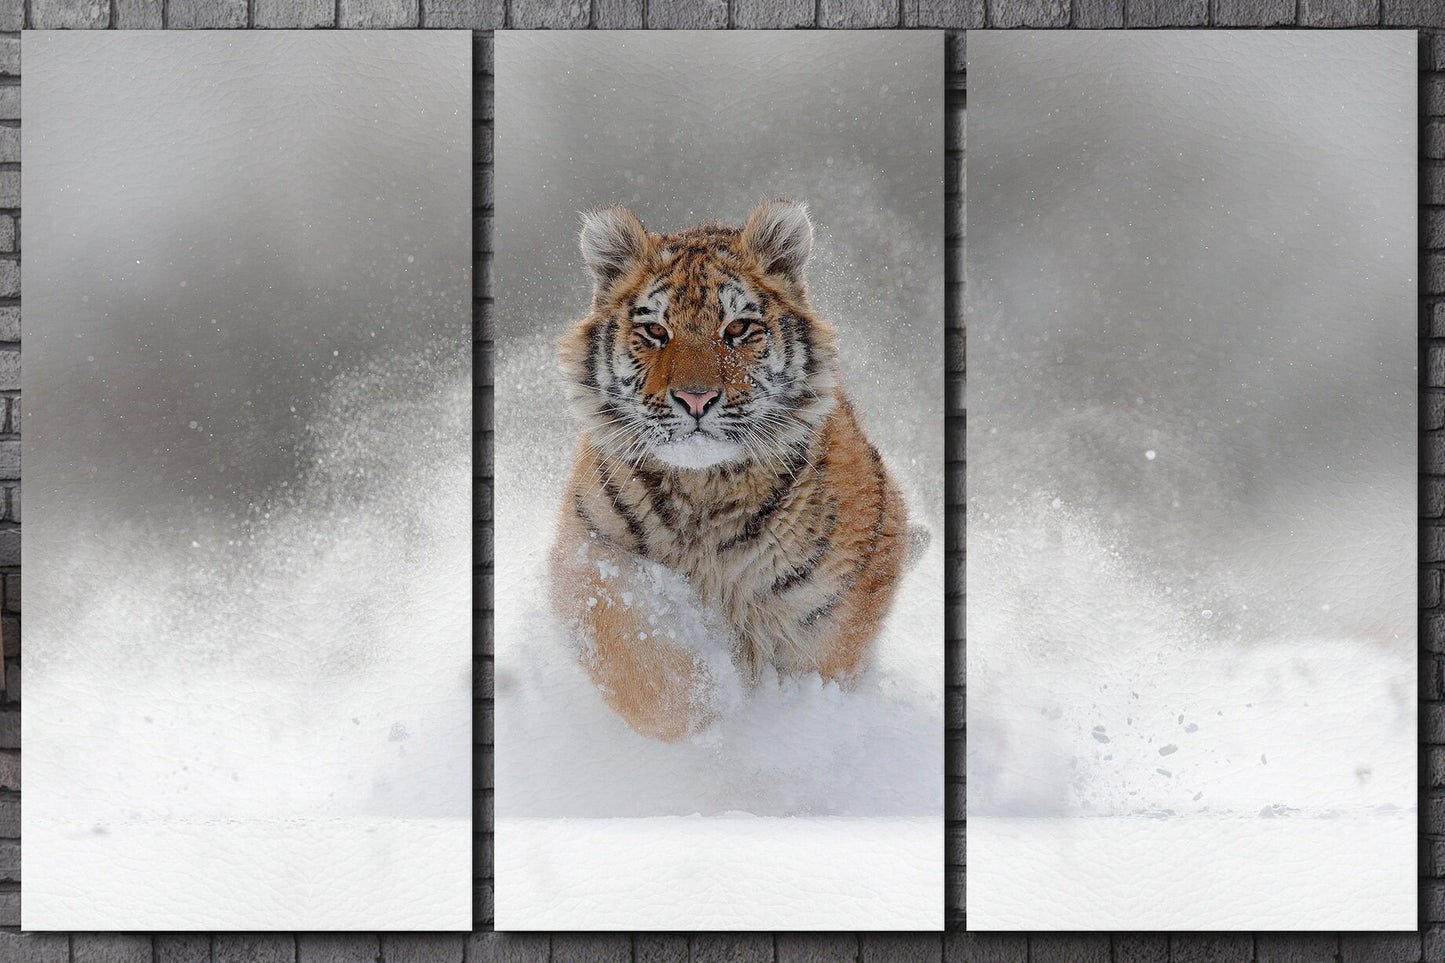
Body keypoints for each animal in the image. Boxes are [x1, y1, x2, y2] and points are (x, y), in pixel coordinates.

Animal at [549, 199, 916, 742]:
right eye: (655, 331)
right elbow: (637, 660)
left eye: (738, 328)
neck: (705, 491)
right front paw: (708, 709)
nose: (695, 398)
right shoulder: (590, 554)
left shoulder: (834, 605)